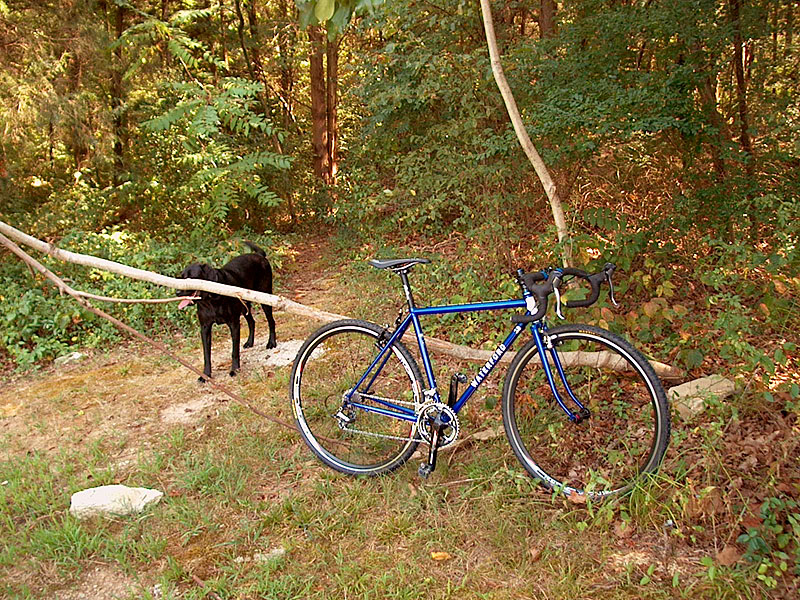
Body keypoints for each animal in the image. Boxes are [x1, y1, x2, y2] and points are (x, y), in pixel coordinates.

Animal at [177, 243, 276, 380]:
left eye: (191, 278)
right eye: (181, 277)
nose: (177, 292)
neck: (211, 300)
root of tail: (260, 256)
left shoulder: (234, 324)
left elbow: (234, 351)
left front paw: (234, 369)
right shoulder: (205, 328)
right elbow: (206, 354)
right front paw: (206, 374)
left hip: (265, 298)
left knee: (271, 321)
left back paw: (271, 342)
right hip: (244, 306)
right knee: (252, 322)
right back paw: (249, 342)